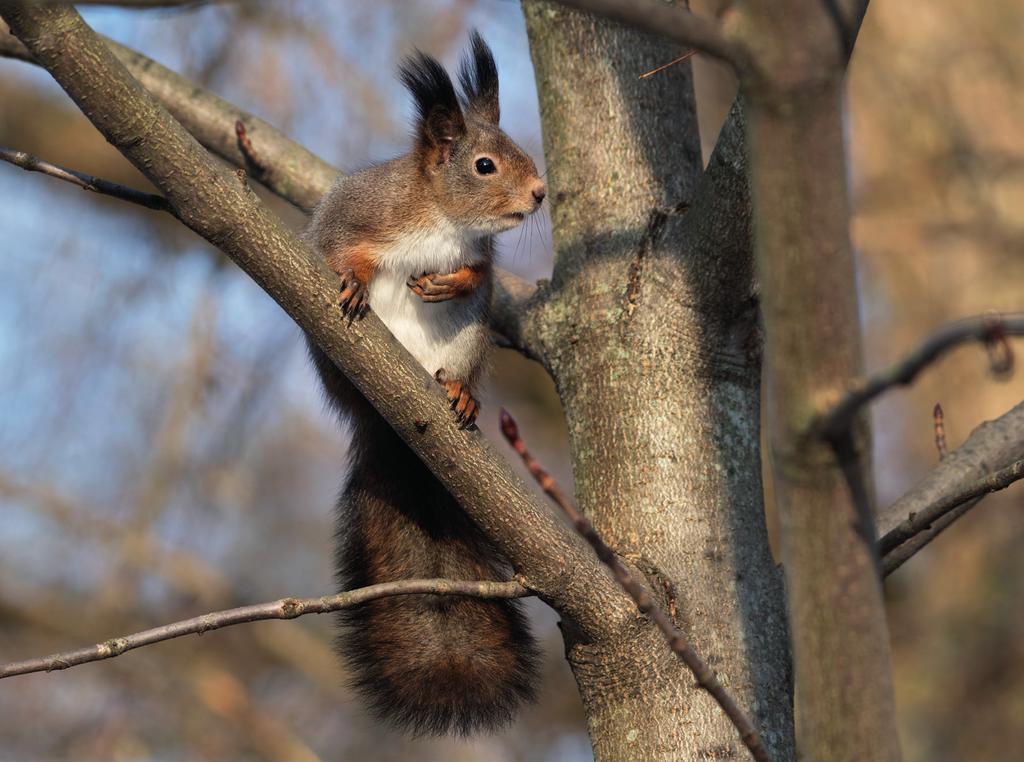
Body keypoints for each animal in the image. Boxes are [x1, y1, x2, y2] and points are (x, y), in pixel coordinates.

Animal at [301, 31, 548, 737]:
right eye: (485, 165)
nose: (540, 193)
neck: (441, 216)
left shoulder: (482, 259)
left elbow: (478, 277)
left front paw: (450, 281)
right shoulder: (357, 216)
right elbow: (341, 251)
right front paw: (355, 281)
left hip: (465, 344)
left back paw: (459, 393)